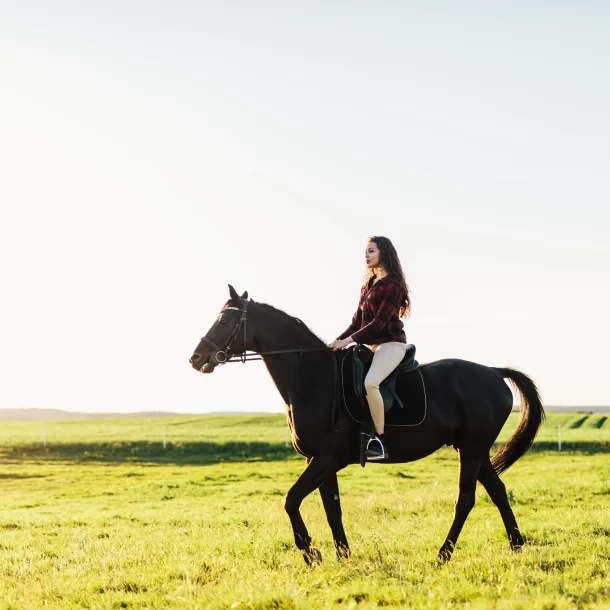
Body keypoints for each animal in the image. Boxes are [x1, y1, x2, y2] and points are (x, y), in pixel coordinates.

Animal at [189, 288, 540, 564]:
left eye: (224, 321)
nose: (196, 358)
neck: (313, 378)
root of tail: (494, 372)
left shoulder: (327, 458)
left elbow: (291, 499)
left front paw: (310, 552)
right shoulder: (318, 460)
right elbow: (332, 509)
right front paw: (343, 555)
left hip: (471, 449)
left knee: (466, 499)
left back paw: (443, 555)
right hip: (473, 450)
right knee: (497, 490)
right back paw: (516, 545)